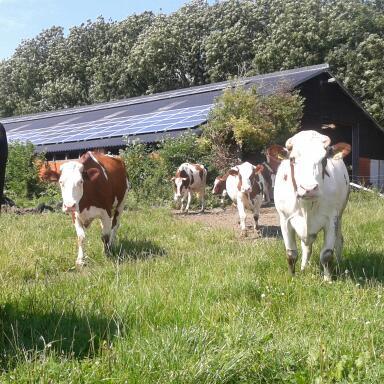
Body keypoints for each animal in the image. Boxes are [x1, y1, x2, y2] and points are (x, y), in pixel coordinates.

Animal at [270, 130, 352, 280]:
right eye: (292, 159)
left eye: (324, 160)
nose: (309, 188)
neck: (306, 206)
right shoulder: (284, 220)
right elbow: (291, 254)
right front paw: (293, 277)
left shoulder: (332, 219)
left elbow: (326, 254)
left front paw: (328, 279)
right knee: (306, 246)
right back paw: (304, 268)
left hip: (340, 216)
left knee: (339, 241)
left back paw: (339, 265)